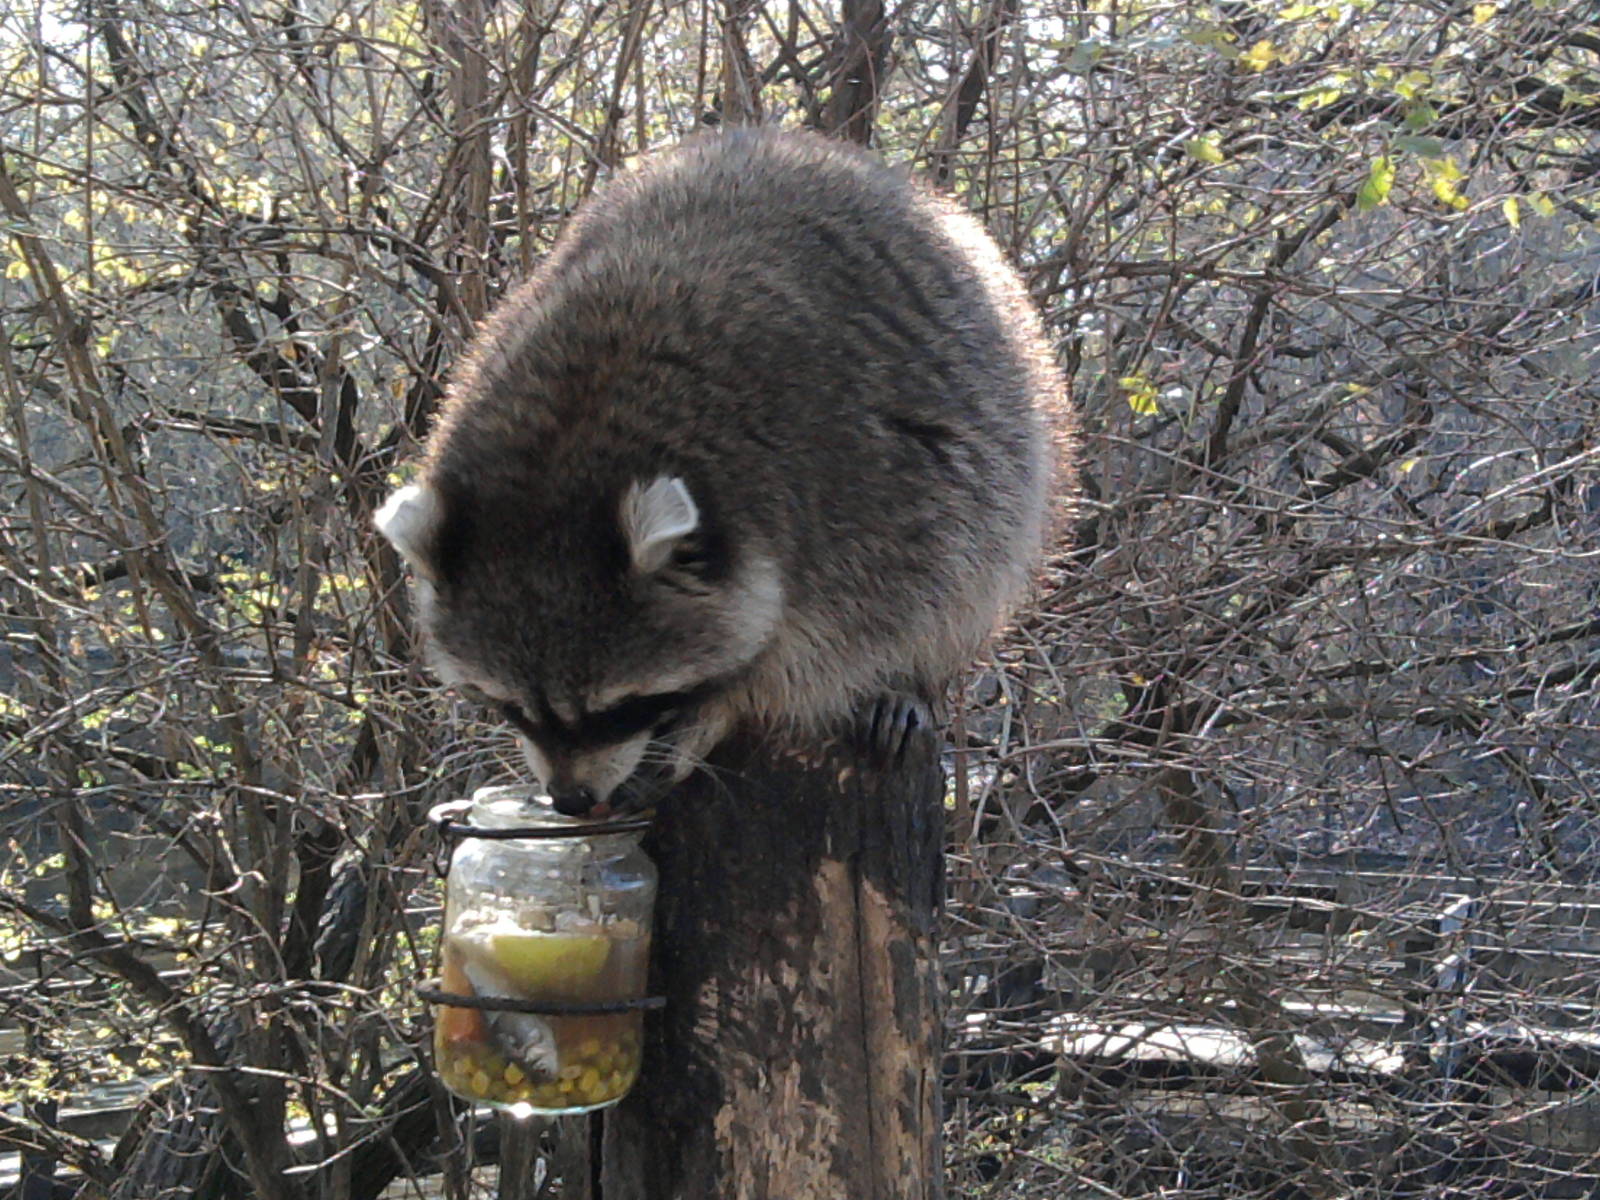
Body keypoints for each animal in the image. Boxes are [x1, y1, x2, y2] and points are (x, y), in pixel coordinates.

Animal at [376, 127, 1066, 817]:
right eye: (510, 706)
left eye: (621, 708)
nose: (571, 800)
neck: (566, 439)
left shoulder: (852, 497)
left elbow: (831, 651)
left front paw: (721, 708)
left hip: (1005, 422)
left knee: (974, 560)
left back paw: (916, 678)